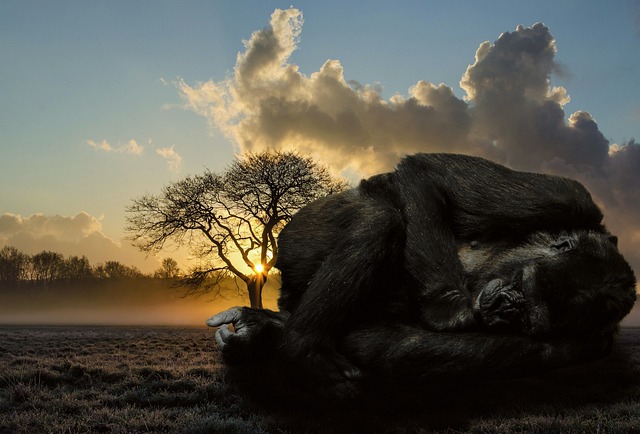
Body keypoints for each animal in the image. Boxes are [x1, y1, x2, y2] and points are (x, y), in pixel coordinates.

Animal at [209, 153, 636, 396]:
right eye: (521, 284)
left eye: (529, 319)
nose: (508, 308)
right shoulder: (569, 198)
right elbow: (428, 174)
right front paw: (452, 309)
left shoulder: (586, 346)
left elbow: (393, 348)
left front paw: (263, 331)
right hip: (298, 236)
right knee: (380, 217)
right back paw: (303, 346)